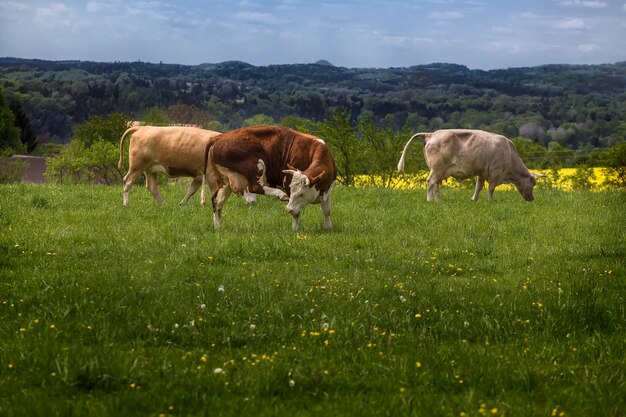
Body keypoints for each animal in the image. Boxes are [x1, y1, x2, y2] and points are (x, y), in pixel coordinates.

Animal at [118, 125, 260, 206]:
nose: (253, 202)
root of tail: (142, 127)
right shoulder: (211, 176)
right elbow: (214, 190)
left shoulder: (198, 176)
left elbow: (191, 190)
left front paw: (182, 203)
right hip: (136, 167)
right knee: (128, 182)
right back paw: (126, 203)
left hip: (150, 170)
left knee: (152, 187)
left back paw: (163, 205)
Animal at [201, 127, 336, 231]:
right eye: (292, 190)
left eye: (302, 194)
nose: (288, 208)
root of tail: (219, 137)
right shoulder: (288, 184)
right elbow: (296, 213)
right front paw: (296, 229)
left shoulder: (328, 191)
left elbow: (327, 211)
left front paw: (328, 228)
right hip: (257, 164)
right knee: (254, 187)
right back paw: (280, 194)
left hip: (225, 181)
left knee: (217, 200)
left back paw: (218, 227)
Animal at [400, 129, 540, 202]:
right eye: (533, 183)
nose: (532, 198)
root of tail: (431, 134)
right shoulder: (495, 172)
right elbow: (491, 188)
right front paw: (490, 201)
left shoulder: (482, 172)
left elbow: (478, 187)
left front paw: (474, 200)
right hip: (437, 168)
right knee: (430, 182)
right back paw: (430, 201)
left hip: (438, 170)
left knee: (435, 185)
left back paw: (439, 201)